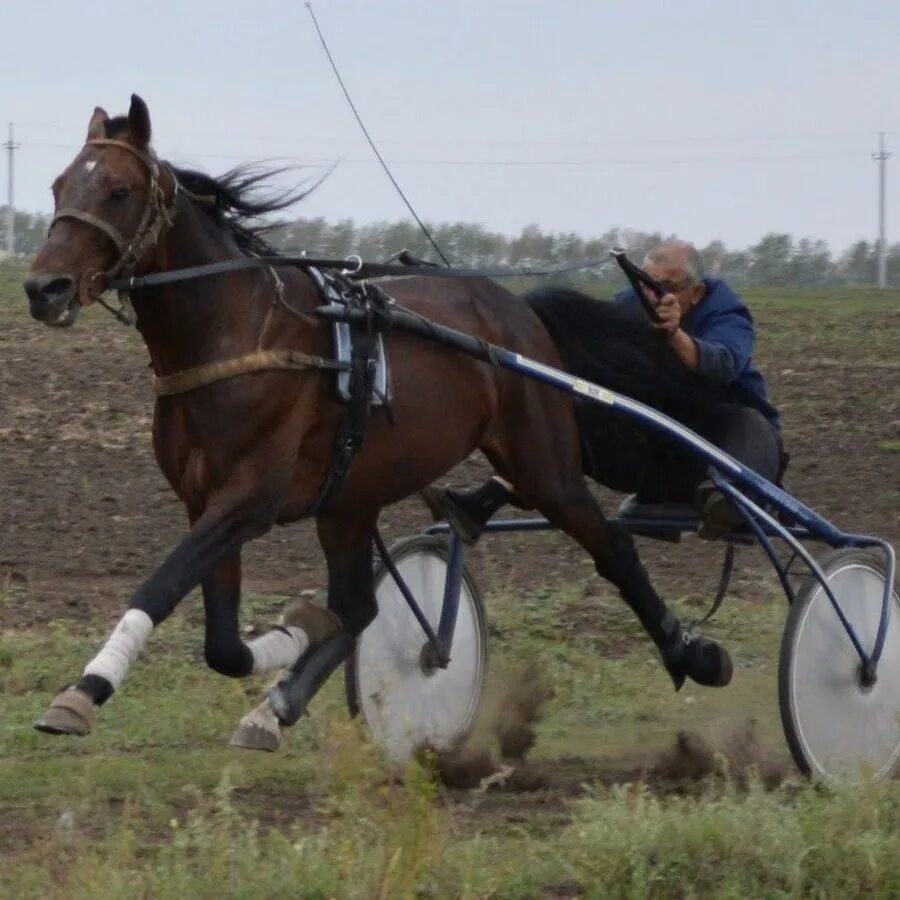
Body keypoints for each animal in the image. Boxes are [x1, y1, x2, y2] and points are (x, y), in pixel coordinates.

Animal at [22, 93, 732, 752]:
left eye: (118, 190)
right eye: (58, 185)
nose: (43, 289)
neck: (236, 335)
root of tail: (517, 310)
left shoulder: (250, 498)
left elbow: (164, 584)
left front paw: (83, 691)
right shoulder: (207, 502)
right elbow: (224, 644)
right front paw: (291, 641)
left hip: (542, 462)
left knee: (612, 547)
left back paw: (695, 654)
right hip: (351, 495)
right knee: (359, 606)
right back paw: (279, 704)